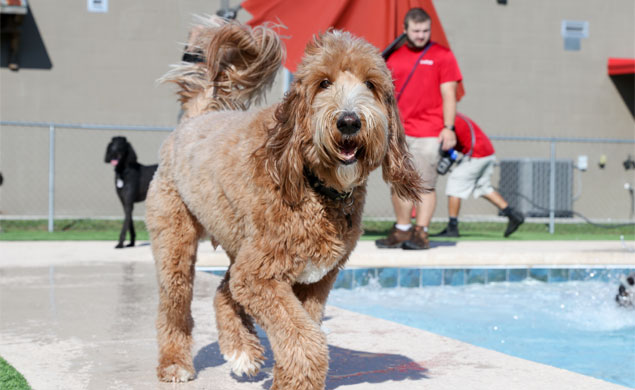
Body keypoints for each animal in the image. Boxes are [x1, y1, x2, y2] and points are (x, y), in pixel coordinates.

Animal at [149, 19, 424, 388]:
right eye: (324, 83)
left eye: (371, 84)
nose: (349, 121)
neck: (317, 186)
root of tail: (195, 119)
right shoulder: (260, 276)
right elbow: (305, 339)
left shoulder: (314, 281)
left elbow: (303, 333)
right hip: (176, 240)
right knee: (175, 305)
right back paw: (175, 364)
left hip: (240, 242)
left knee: (224, 289)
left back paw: (242, 351)